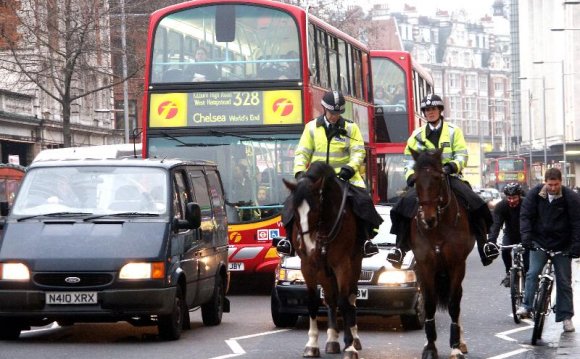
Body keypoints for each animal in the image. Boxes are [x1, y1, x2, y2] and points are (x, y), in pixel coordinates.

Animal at [282, 162, 362, 359]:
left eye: (316, 209)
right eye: (295, 211)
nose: (308, 246)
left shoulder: (342, 264)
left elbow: (344, 302)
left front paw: (350, 346)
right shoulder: (308, 265)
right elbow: (313, 301)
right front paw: (312, 344)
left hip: (354, 264)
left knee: (350, 298)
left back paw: (354, 337)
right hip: (324, 271)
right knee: (331, 299)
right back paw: (332, 340)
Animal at [410, 149, 474, 359]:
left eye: (438, 178)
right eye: (414, 180)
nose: (428, 218)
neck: (437, 229)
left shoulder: (457, 265)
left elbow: (454, 304)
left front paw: (455, 347)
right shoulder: (425, 266)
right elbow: (429, 303)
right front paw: (430, 347)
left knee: (458, 299)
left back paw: (461, 342)